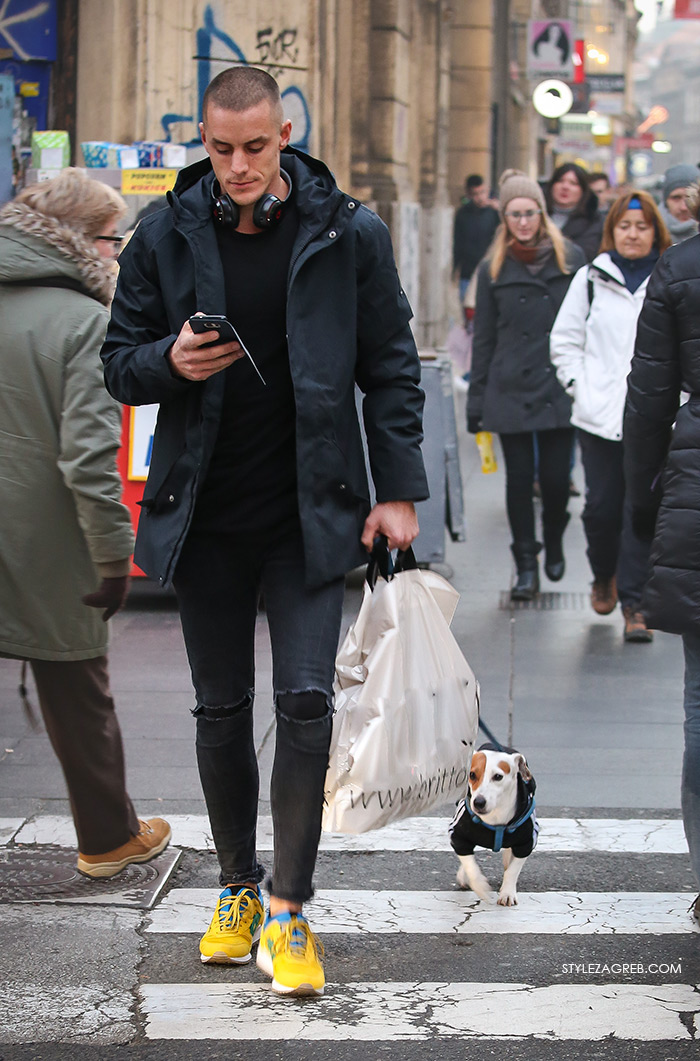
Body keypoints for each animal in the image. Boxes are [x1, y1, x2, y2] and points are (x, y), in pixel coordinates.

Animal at [447, 742, 536, 908]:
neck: (495, 817)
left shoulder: (526, 843)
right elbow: (470, 865)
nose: (478, 802)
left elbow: (513, 870)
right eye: (472, 775)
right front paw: (480, 886)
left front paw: (507, 893)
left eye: (498, 776)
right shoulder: (458, 836)